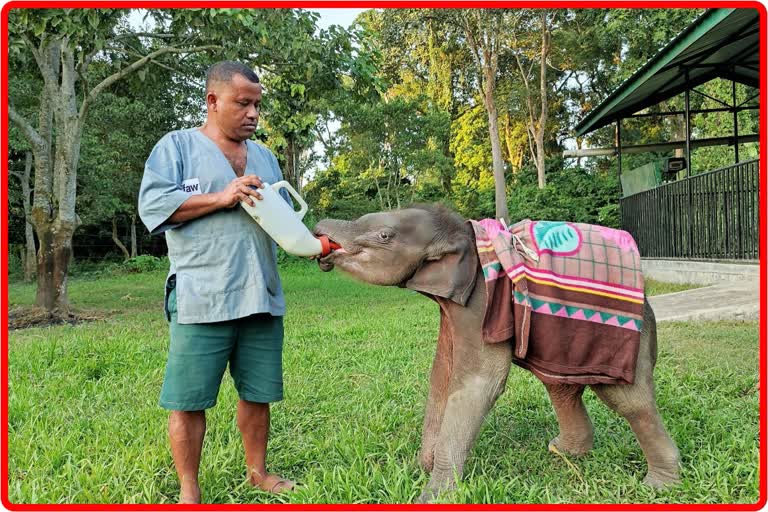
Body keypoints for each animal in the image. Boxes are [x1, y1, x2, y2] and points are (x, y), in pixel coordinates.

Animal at [316, 205, 680, 504]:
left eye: (384, 235)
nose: (318, 230)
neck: (461, 234)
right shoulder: (453, 312)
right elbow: (441, 375)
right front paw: (422, 468)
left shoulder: (479, 303)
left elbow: (480, 383)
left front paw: (432, 496)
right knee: (560, 388)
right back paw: (563, 451)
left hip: (625, 341)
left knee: (627, 400)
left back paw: (659, 486)